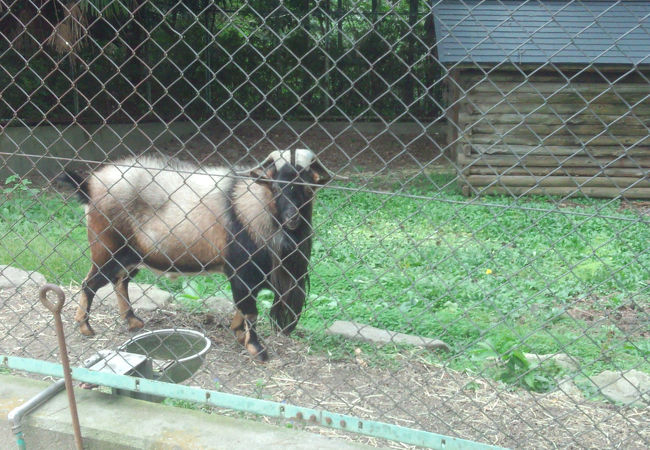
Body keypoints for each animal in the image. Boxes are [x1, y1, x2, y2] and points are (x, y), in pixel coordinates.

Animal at [61, 149, 336, 360]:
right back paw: (85, 327)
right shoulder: (242, 270)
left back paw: (132, 321)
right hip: (107, 250)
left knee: (121, 282)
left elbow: (243, 307)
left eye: (307, 187)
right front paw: (257, 349)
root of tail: (90, 186)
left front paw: (239, 333)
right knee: (90, 283)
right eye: (276, 185)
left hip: (131, 256)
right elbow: (250, 310)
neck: (251, 206)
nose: (292, 218)